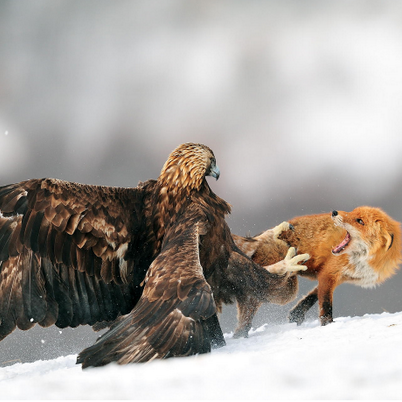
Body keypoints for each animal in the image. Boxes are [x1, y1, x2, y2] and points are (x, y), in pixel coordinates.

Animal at [234, 206, 400, 334]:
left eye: (360, 221)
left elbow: (312, 296)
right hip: (286, 289)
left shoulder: (336, 275)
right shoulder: (329, 273)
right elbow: (325, 304)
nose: (334, 212)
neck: (364, 261)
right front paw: (327, 325)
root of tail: (255, 240)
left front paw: (297, 314)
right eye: (352, 212)